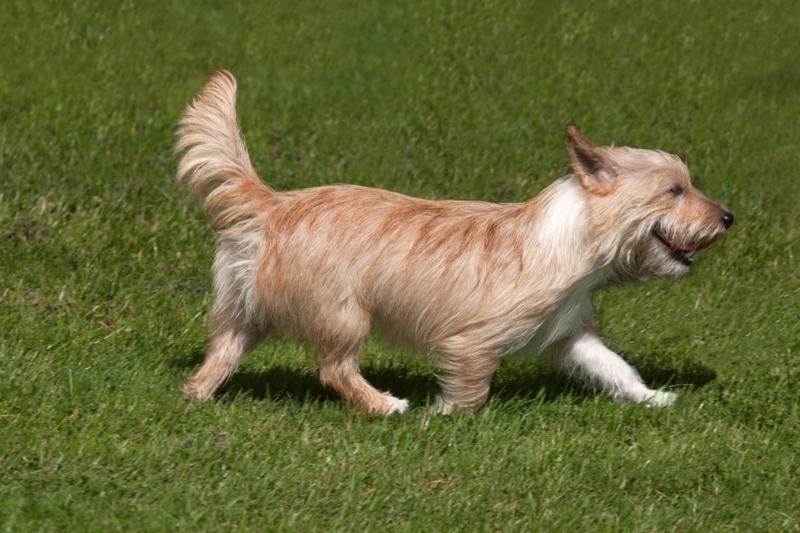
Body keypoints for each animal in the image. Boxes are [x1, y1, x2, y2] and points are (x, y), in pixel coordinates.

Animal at [173, 70, 732, 414]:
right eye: (674, 190)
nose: (727, 217)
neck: (570, 241)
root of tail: (272, 204)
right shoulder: (472, 342)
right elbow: (471, 392)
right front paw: (442, 416)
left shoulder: (572, 335)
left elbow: (616, 368)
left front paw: (653, 397)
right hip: (344, 315)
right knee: (334, 369)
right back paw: (385, 404)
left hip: (248, 315)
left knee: (220, 354)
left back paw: (196, 396)